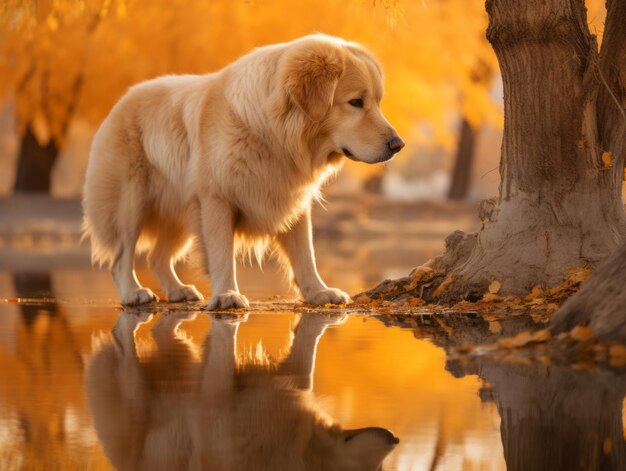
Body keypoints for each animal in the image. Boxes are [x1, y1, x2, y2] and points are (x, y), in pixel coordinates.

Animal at [81, 35, 404, 312]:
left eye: (377, 101)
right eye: (356, 102)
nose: (397, 145)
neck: (273, 134)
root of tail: (121, 101)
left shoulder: (292, 198)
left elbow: (305, 253)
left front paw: (318, 292)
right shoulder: (216, 200)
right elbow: (222, 253)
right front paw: (227, 295)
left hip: (180, 212)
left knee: (157, 257)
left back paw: (177, 290)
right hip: (131, 203)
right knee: (122, 257)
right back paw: (133, 293)